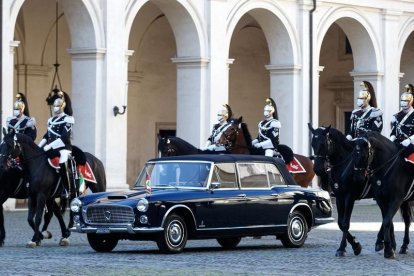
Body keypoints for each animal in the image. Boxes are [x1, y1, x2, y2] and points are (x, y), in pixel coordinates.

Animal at [352, 130, 414, 258]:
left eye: (363, 155)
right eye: (353, 154)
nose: (357, 178)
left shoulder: (396, 199)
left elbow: (386, 221)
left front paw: (388, 250)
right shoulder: (382, 199)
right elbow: (388, 221)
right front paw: (390, 247)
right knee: (407, 220)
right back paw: (404, 246)